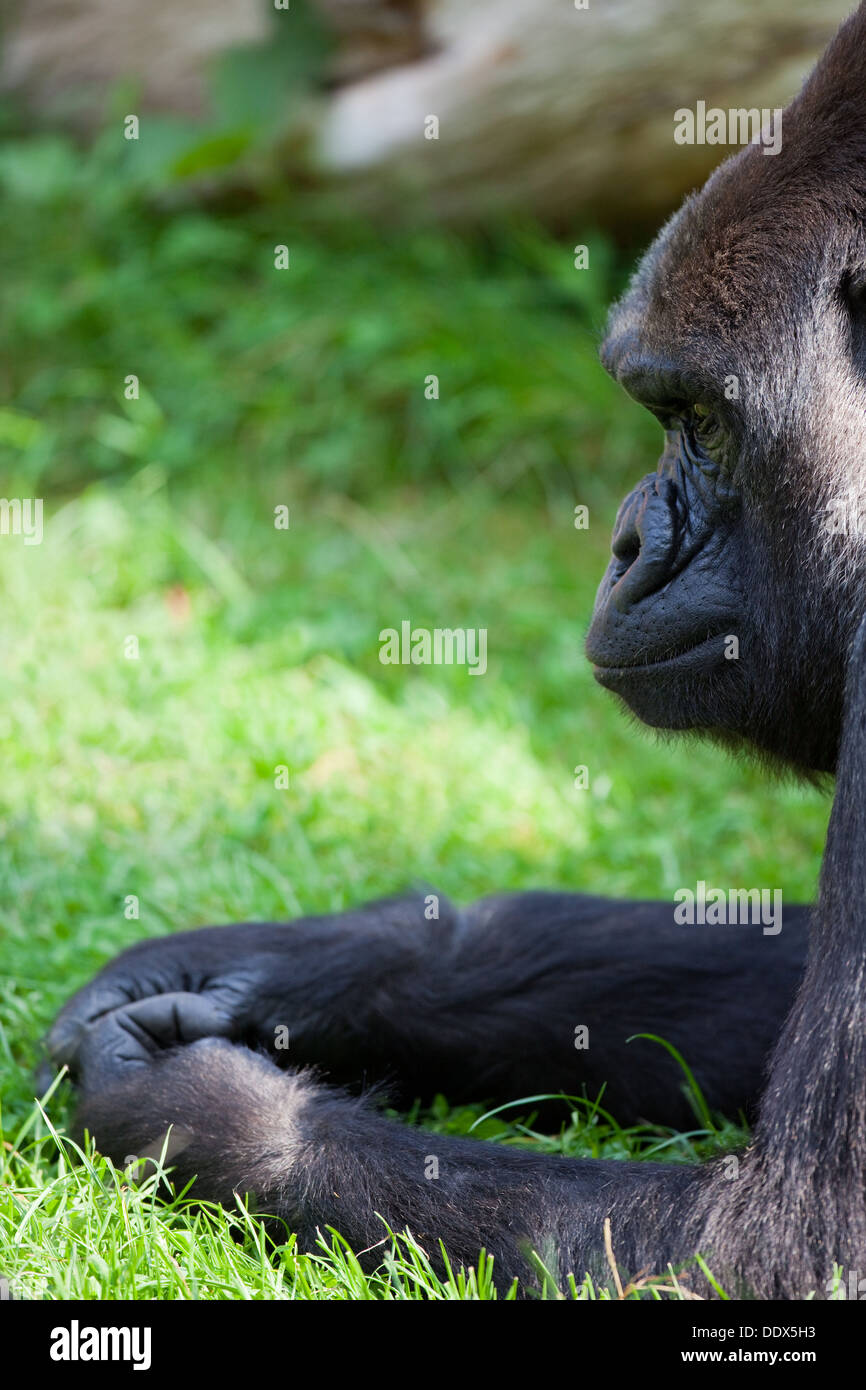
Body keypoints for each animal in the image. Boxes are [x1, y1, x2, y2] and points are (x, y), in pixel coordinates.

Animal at [45, 5, 866, 1295]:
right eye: (665, 413)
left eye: (700, 419)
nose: (622, 540)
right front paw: (322, 966)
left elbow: (783, 1244)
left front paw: (197, 1112)